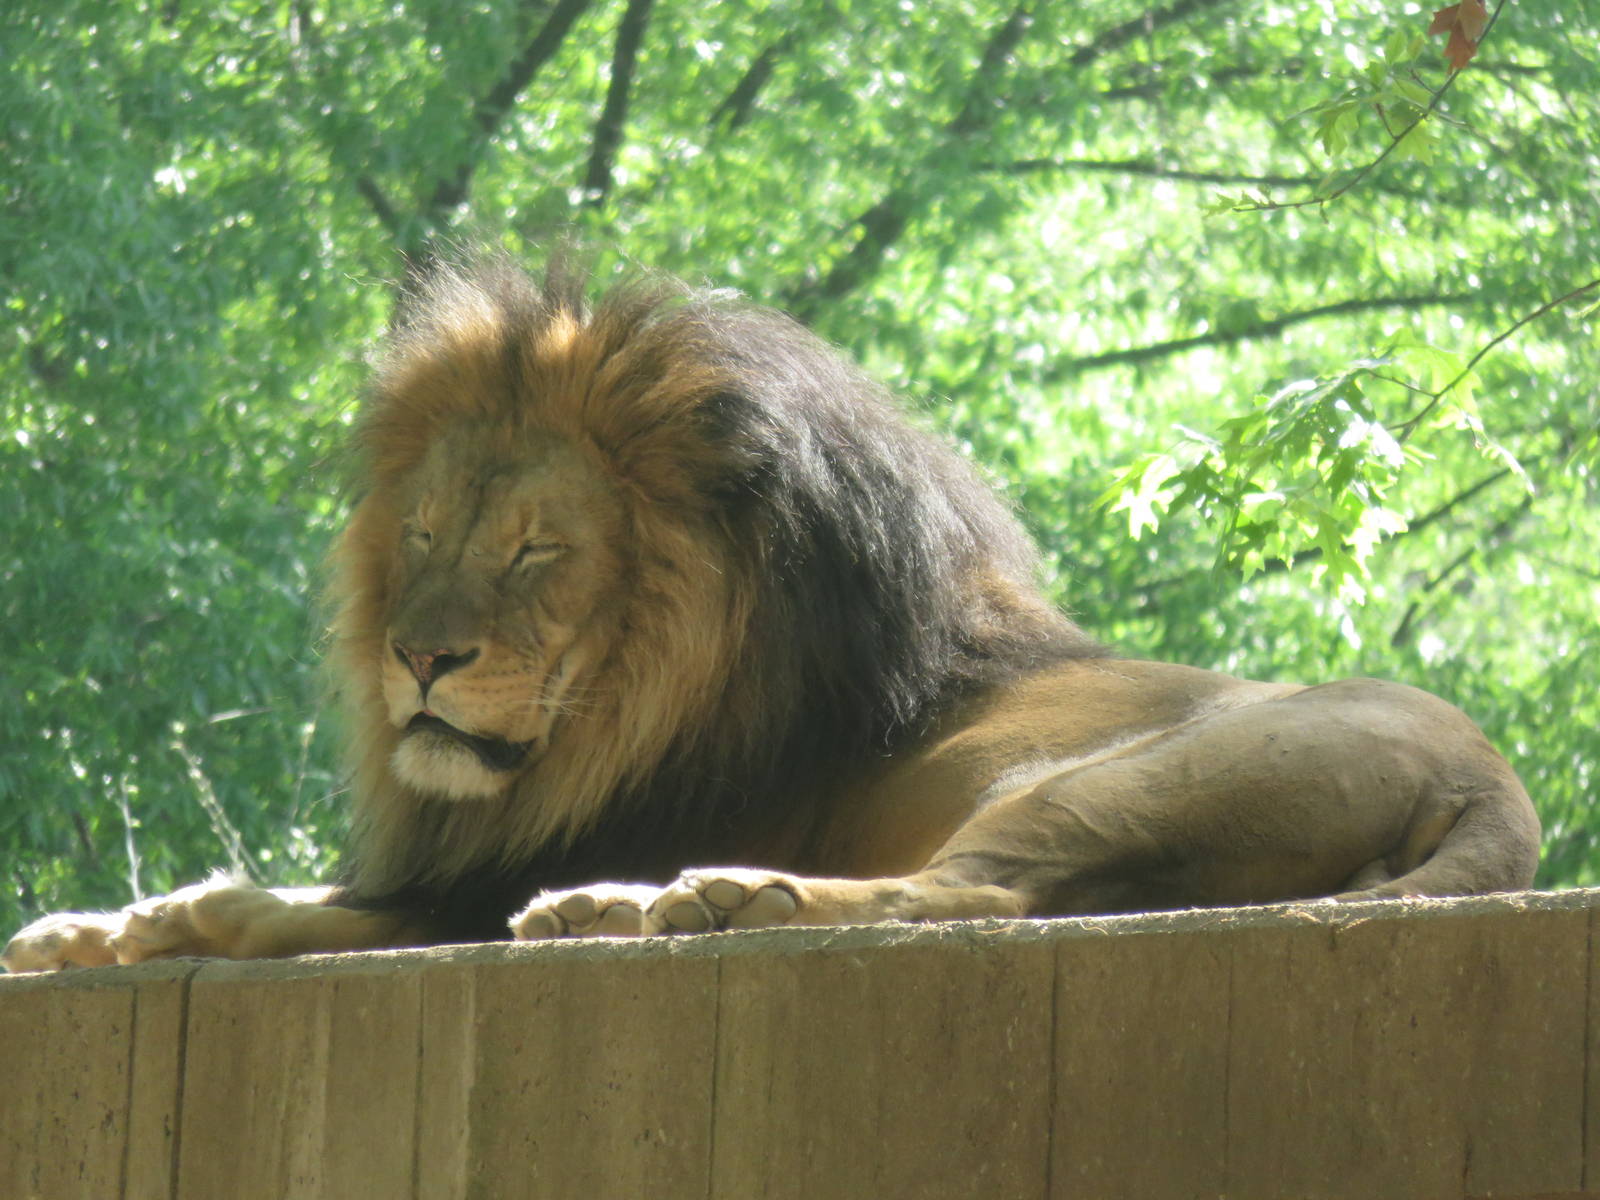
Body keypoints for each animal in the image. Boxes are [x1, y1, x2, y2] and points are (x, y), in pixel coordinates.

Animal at [2, 257, 1541, 972]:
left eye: (537, 548)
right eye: (426, 532)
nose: (418, 656)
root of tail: (1497, 787)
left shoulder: (477, 879)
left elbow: (285, 907)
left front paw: (174, 918)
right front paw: (81, 928)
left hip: (1107, 783)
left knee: (964, 896)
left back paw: (686, 901)